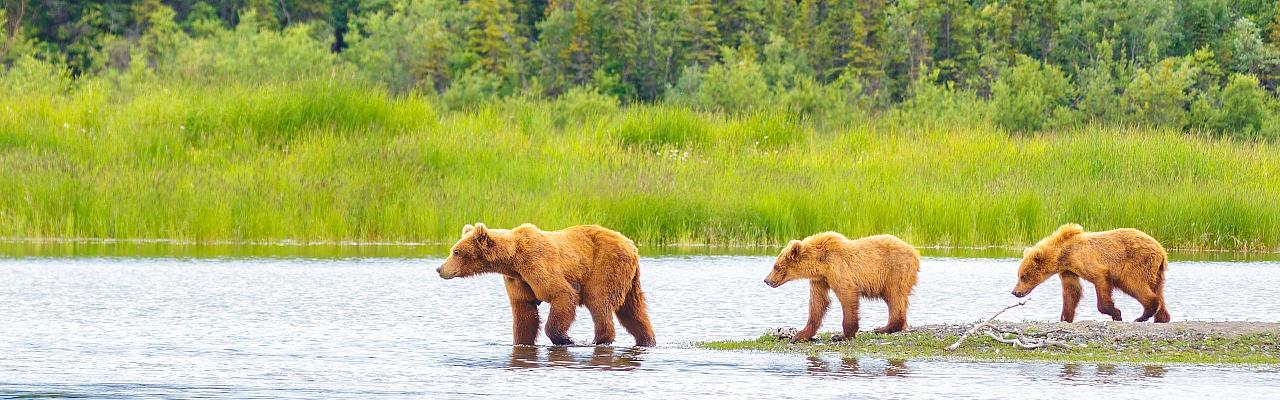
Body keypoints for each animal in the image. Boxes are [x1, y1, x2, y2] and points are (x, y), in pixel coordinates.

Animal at [440, 221, 660, 346]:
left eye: (456, 251)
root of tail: (632, 245)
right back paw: (647, 340)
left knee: (600, 302)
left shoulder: (538, 265)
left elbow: (562, 295)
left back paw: (600, 340)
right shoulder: (519, 280)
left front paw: (565, 339)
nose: (440, 269)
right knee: (633, 310)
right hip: (629, 279)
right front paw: (522, 342)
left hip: (605, 267)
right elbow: (524, 313)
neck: (513, 261)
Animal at [757, 233, 921, 341]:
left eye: (776, 266)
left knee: (895, 296)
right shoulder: (820, 280)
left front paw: (842, 335)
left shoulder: (837, 268)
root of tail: (915, 252)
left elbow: (847, 295)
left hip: (895, 271)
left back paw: (884, 328)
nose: (766, 280)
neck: (820, 263)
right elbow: (818, 303)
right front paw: (800, 334)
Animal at [1008, 223, 1172, 323]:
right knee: (1158, 289)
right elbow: (1072, 291)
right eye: (1019, 275)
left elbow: (1100, 282)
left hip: (1136, 263)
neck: (1063, 254)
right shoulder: (1068, 270)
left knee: (1133, 283)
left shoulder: (1087, 262)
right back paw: (1162, 318)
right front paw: (1065, 318)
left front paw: (1116, 313)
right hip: (1156, 271)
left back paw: (1143, 315)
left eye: (1023, 276)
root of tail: (1161, 250)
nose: (1015, 292)